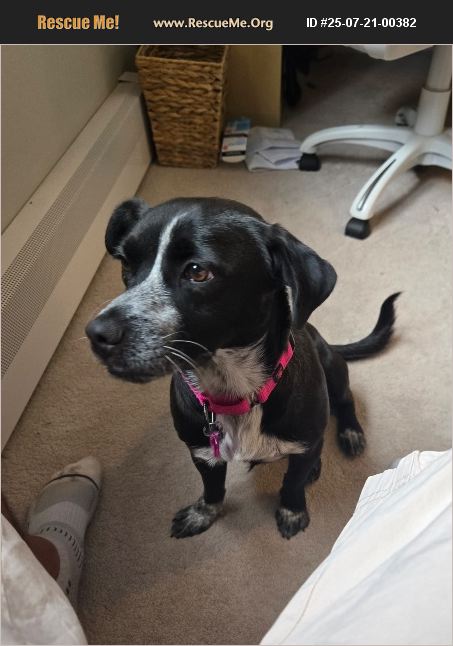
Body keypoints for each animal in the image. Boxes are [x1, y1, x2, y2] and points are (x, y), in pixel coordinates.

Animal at [86, 197, 399, 539]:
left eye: (197, 271)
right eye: (125, 263)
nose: (97, 335)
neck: (233, 388)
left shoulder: (303, 446)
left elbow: (292, 483)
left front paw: (292, 512)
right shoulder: (201, 453)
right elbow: (212, 490)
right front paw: (202, 514)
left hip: (333, 366)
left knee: (344, 401)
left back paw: (350, 433)